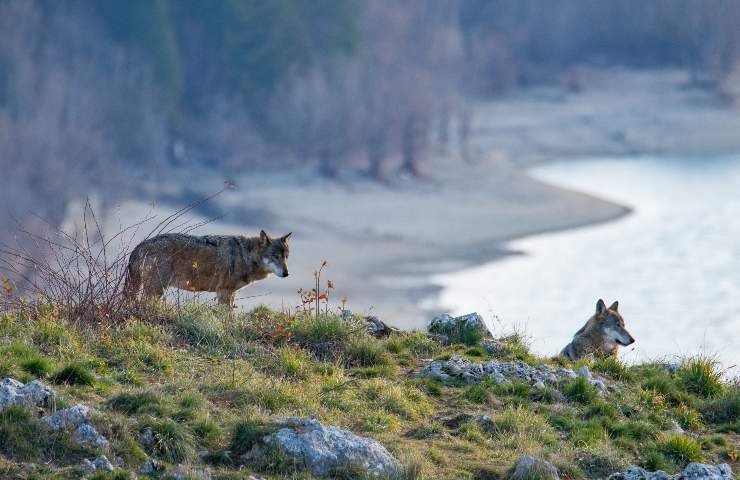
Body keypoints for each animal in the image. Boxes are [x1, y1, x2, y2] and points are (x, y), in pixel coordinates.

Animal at [123, 231, 290, 306]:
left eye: (286, 257)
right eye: (275, 257)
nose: (287, 273)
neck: (245, 256)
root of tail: (141, 244)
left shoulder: (231, 293)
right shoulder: (224, 292)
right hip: (156, 290)